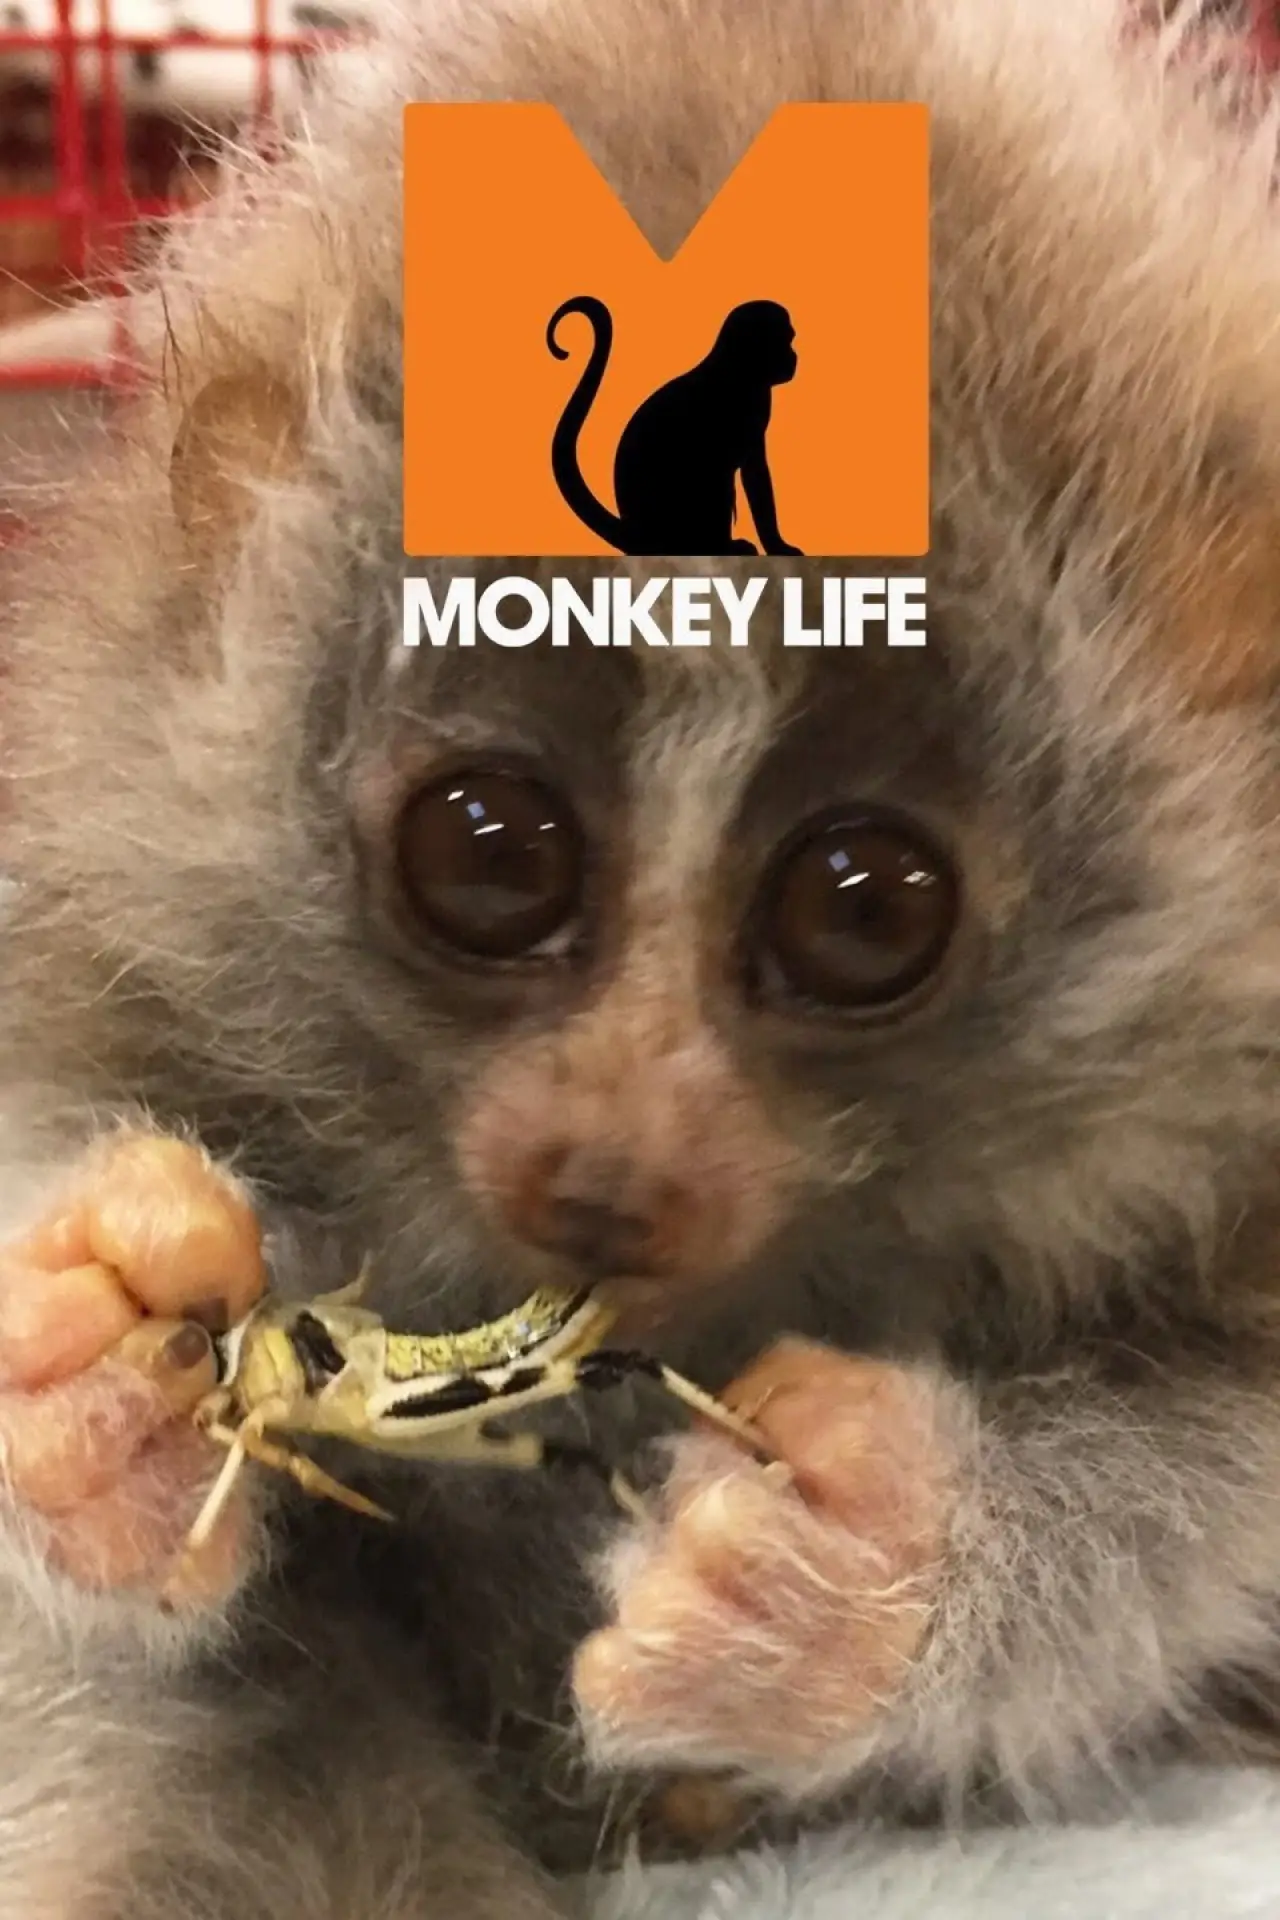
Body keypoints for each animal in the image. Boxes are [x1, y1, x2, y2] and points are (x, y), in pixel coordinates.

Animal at [546, 295, 803, 556]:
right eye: (786, 341)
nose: (794, 356)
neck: (739, 372)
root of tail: (634, 534)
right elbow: (747, 472)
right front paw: (775, 546)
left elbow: (754, 471)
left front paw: (777, 545)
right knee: (711, 475)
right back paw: (719, 545)